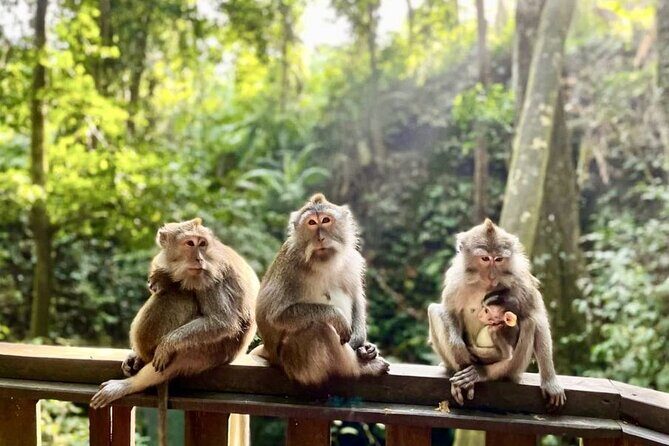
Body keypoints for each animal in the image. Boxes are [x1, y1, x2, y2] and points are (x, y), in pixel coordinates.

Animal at [90, 218, 259, 445]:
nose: (199, 258)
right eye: (190, 243)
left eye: (202, 243)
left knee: (180, 295)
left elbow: (222, 320)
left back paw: (129, 384)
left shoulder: (211, 275)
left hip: (211, 351)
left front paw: (167, 344)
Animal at [252, 193, 389, 386]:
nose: (320, 238)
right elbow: (276, 316)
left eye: (325, 220)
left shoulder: (352, 260)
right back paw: (360, 368)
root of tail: (270, 354)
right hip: (295, 362)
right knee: (319, 328)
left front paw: (362, 344)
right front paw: (336, 316)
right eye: (311, 223)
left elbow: (356, 298)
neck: (323, 262)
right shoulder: (289, 268)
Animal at [427, 219, 566, 409]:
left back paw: (481, 373)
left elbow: (538, 318)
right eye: (485, 258)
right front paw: (459, 348)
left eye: (499, 259)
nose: (492, 275)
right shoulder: (456, 278)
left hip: (513, 368)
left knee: (529, 322)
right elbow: (449, 310)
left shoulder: (520, 278)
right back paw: (459, 369)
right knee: (434, 310)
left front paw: (550, 382)